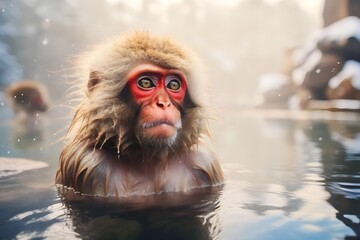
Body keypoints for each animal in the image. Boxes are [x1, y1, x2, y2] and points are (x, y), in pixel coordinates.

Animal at [55, 31, 225, 197]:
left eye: (174, 85)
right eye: (146, 82)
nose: (164, 103)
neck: (148, 158)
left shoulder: (205, 162)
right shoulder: (88, 163)